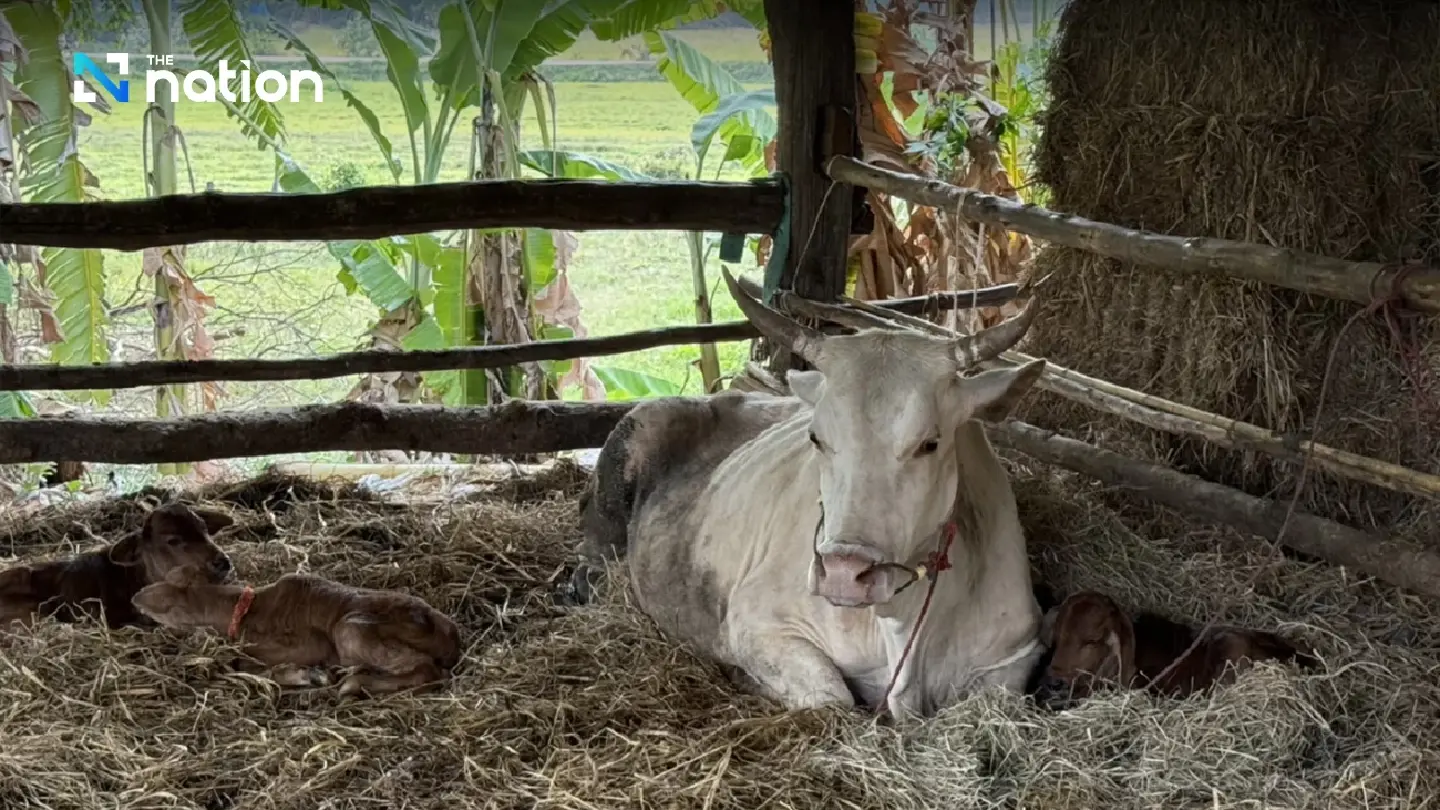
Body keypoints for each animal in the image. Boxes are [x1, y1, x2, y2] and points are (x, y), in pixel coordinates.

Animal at [131, 565, 462, 697]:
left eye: (164, 600)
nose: (135, 597)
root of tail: (450, 634)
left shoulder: (312, 644)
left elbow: (242, 662)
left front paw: (310, 675)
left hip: (350, 631)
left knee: (427, 670)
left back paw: (353, 684)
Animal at [571, 266, 1049, 718]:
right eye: (816, 437)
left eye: (929, 443)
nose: (843, 573)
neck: (900, 623)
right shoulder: (758, 622)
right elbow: (833, 698)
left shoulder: (1016, 655)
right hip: (628, 453)